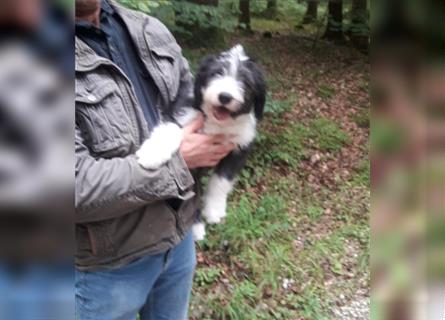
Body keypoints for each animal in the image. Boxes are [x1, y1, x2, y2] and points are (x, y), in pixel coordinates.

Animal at [137, 45, 266, 240]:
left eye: (245, 81)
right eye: (217, 73)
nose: (225, 96)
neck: (217, 123)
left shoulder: (239, 148)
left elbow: (222, 179)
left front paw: (214, 209)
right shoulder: (180, 115)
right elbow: (171, 129)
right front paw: (151, 155)